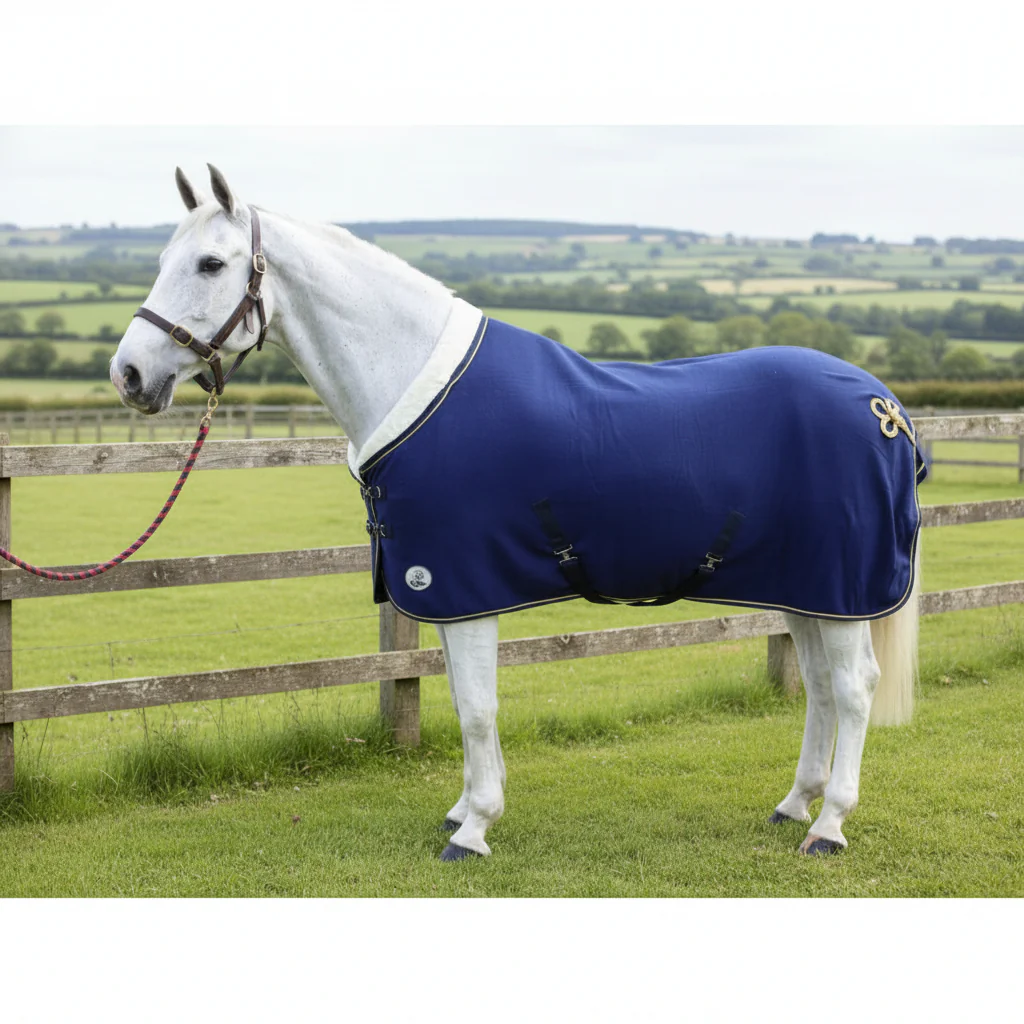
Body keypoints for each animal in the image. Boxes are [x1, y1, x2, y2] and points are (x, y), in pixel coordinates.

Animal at [111, 165, 923, 861]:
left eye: (210, 264)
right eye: (166, 257)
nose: (129, 374)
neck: (414, 383)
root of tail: (885, 409)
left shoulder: (462, 584)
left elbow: (476, 708)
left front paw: (473, 832)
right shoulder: (446, 589)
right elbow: (466, 703)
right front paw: (467, 809)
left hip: (842, 587)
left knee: (854, 688)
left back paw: (828, 825)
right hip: (809, 589)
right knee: (820, 687)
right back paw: (794, 804)